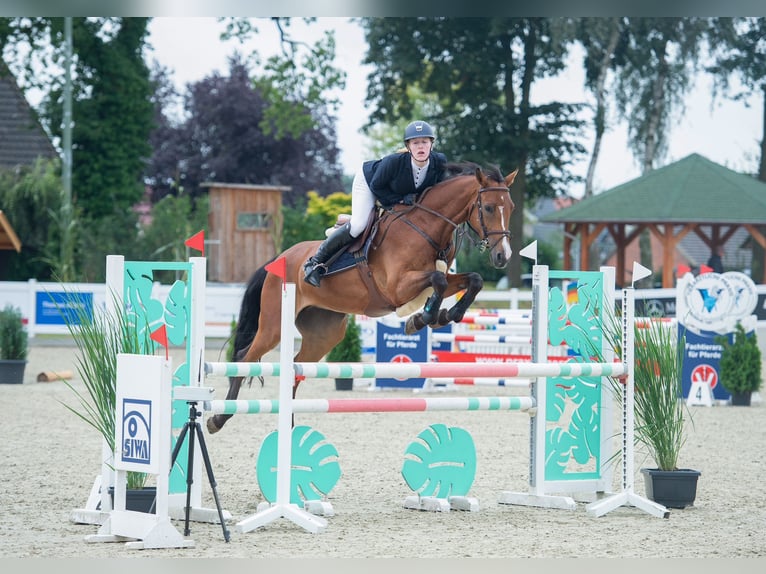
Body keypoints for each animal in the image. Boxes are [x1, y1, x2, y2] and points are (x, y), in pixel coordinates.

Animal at [207, 161, 520, 432]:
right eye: (488, 207)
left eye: (512, 208)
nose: (503, 256)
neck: (426, 226)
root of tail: (279, 259)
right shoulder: (397, 286)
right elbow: (438, 280)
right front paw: (422, 319)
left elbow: (472, 280)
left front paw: (445, 315)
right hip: (274, 324)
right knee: (246, 356)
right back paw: (219, 419)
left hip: (325, 333)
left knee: (296, 364)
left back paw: (290, 425)